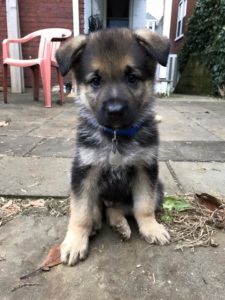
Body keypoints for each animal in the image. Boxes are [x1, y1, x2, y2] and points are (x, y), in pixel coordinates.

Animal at [55, 28, 171, 266]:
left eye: (132, 78)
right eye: (95, 81)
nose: (115, 111)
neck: (116, 136)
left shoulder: (145, 168)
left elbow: (143, 206)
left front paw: (151, 228)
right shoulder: (84, 170)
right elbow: (80, 212)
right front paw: (75, 242)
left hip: (158, 189)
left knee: (117, 208)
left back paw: (118, 223)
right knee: (96, 206)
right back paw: (95, 222)